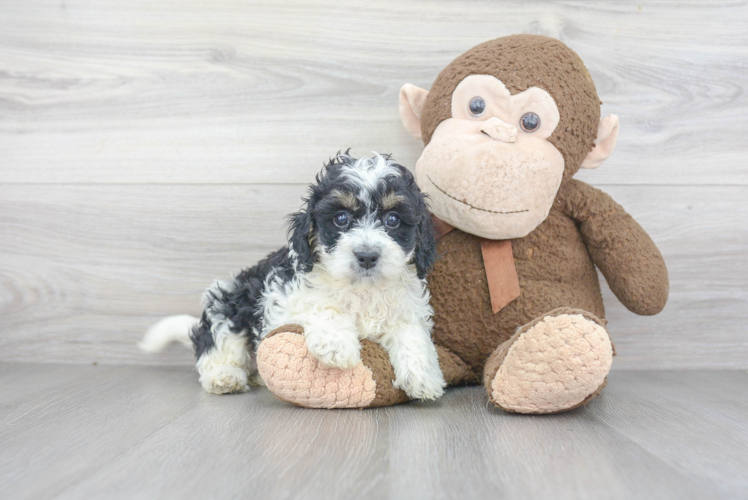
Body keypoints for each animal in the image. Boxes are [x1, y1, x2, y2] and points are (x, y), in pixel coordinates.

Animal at [143, 153, 448, 402]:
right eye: (340, 219)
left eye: (393, 220)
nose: (367, 256)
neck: (362, 288)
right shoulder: (284, 300)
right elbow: (323, 305)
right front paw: (337, 345)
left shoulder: (406, 308)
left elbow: (411, 333)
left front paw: (424, 378)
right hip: (229, 300)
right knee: (216, 343)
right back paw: (224, 377)